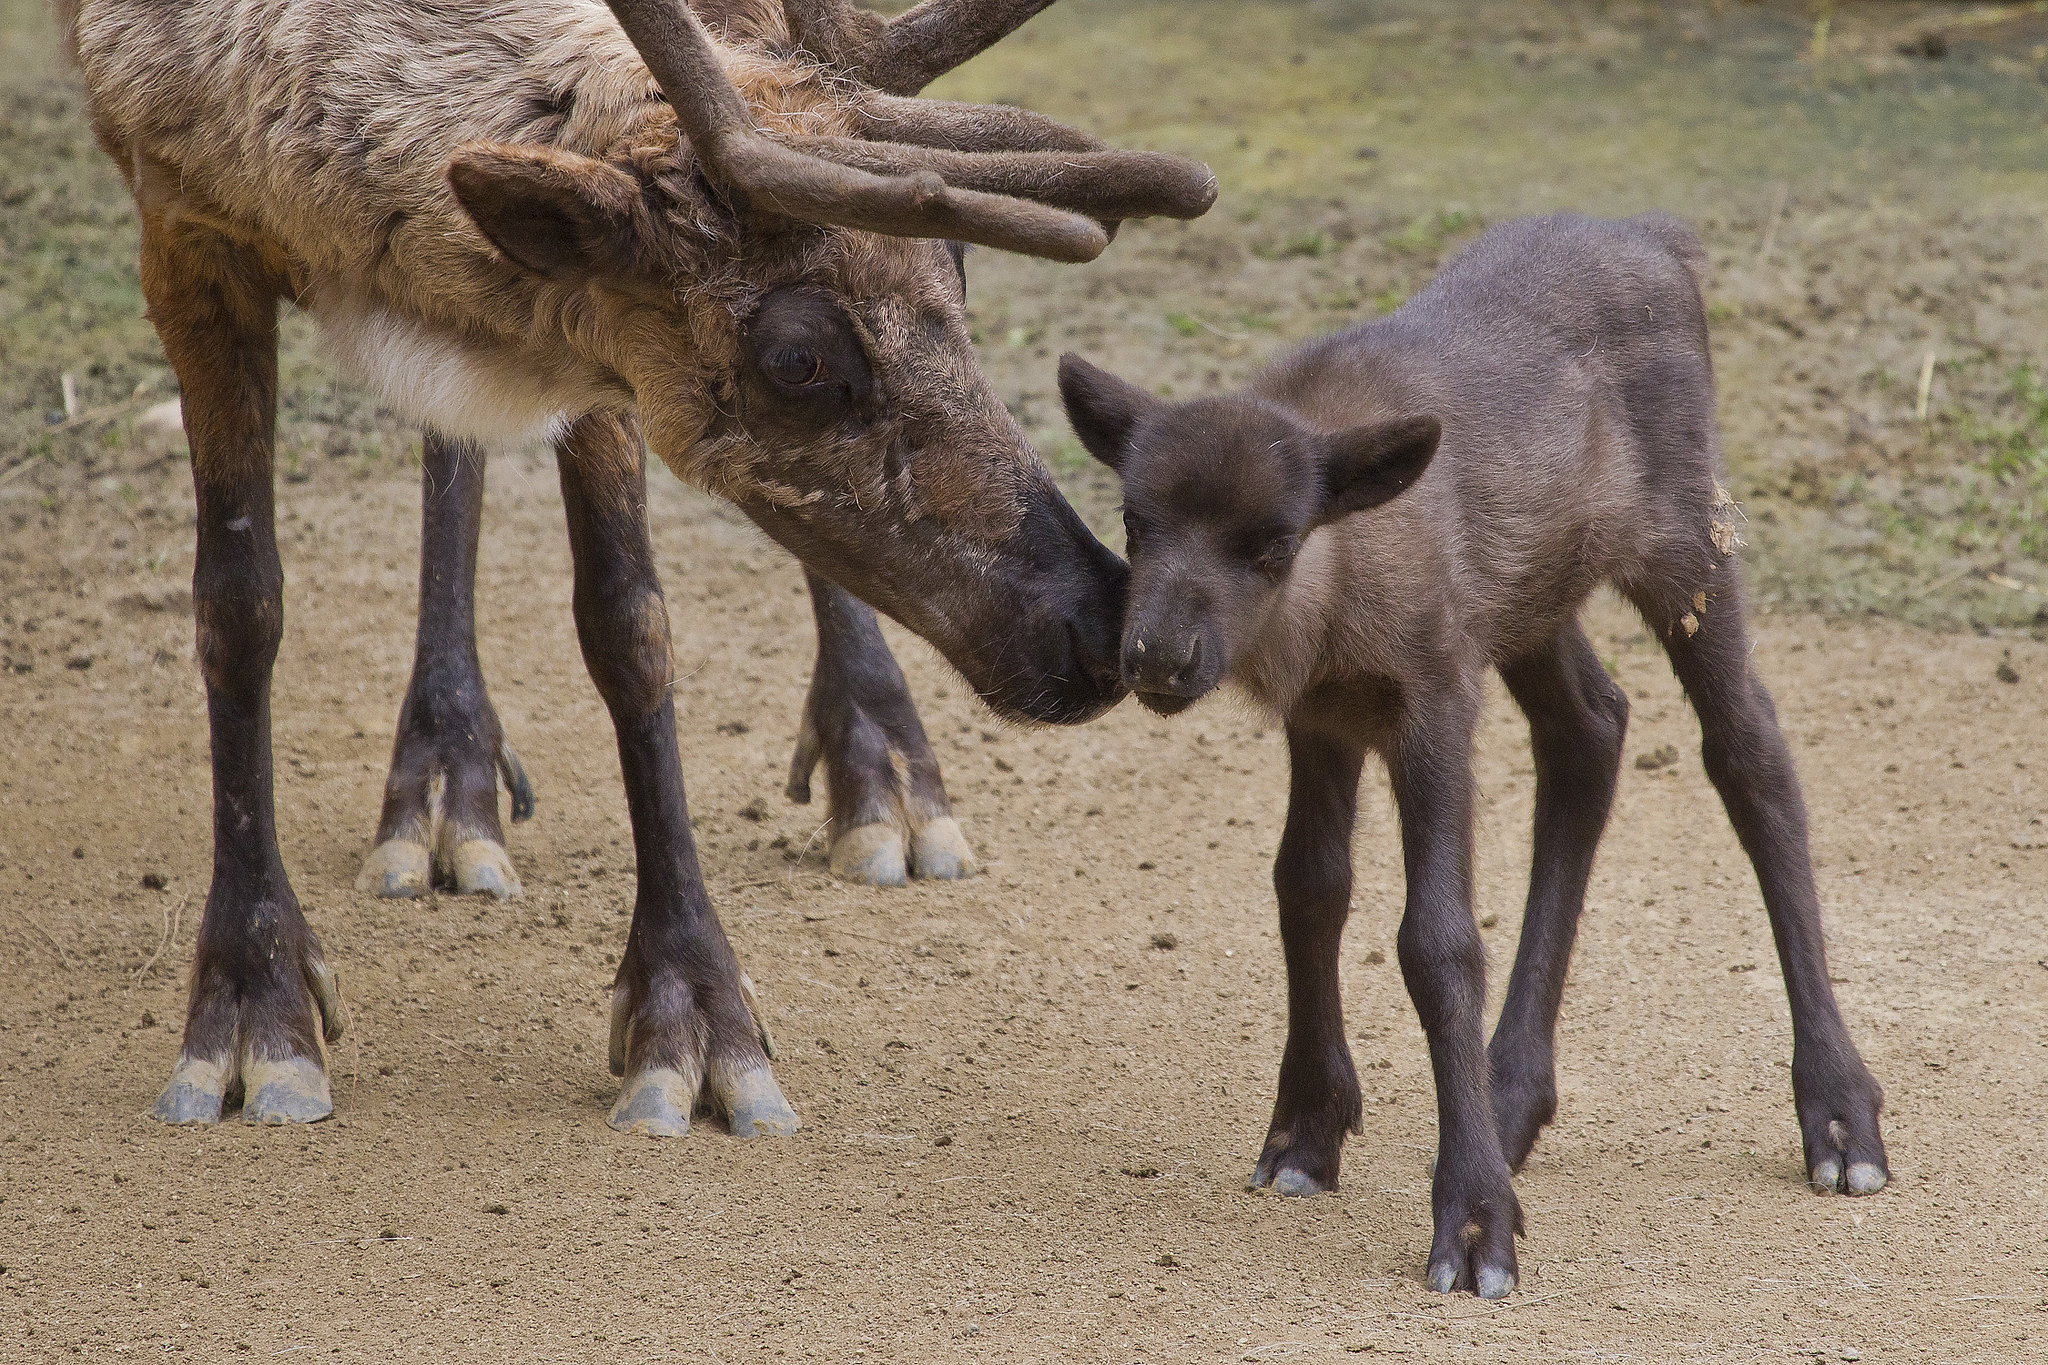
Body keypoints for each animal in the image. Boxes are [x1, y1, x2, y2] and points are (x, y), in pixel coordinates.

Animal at [1064, 215, 1892, 1301]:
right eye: (1133, 519)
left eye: (1273, 543)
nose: (1156, 657)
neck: (1334, 599)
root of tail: (1660, 237)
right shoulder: (1324, 717)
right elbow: (1307, 887)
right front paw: (1304, 1132)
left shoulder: (1433, 700)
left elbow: (1437, 941)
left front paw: (1470, 1223)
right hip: (1532, 596)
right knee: (1590, 727)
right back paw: (1508, 1099)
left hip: (1687, 540)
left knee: (1750, 753)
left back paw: (1837, 1112)